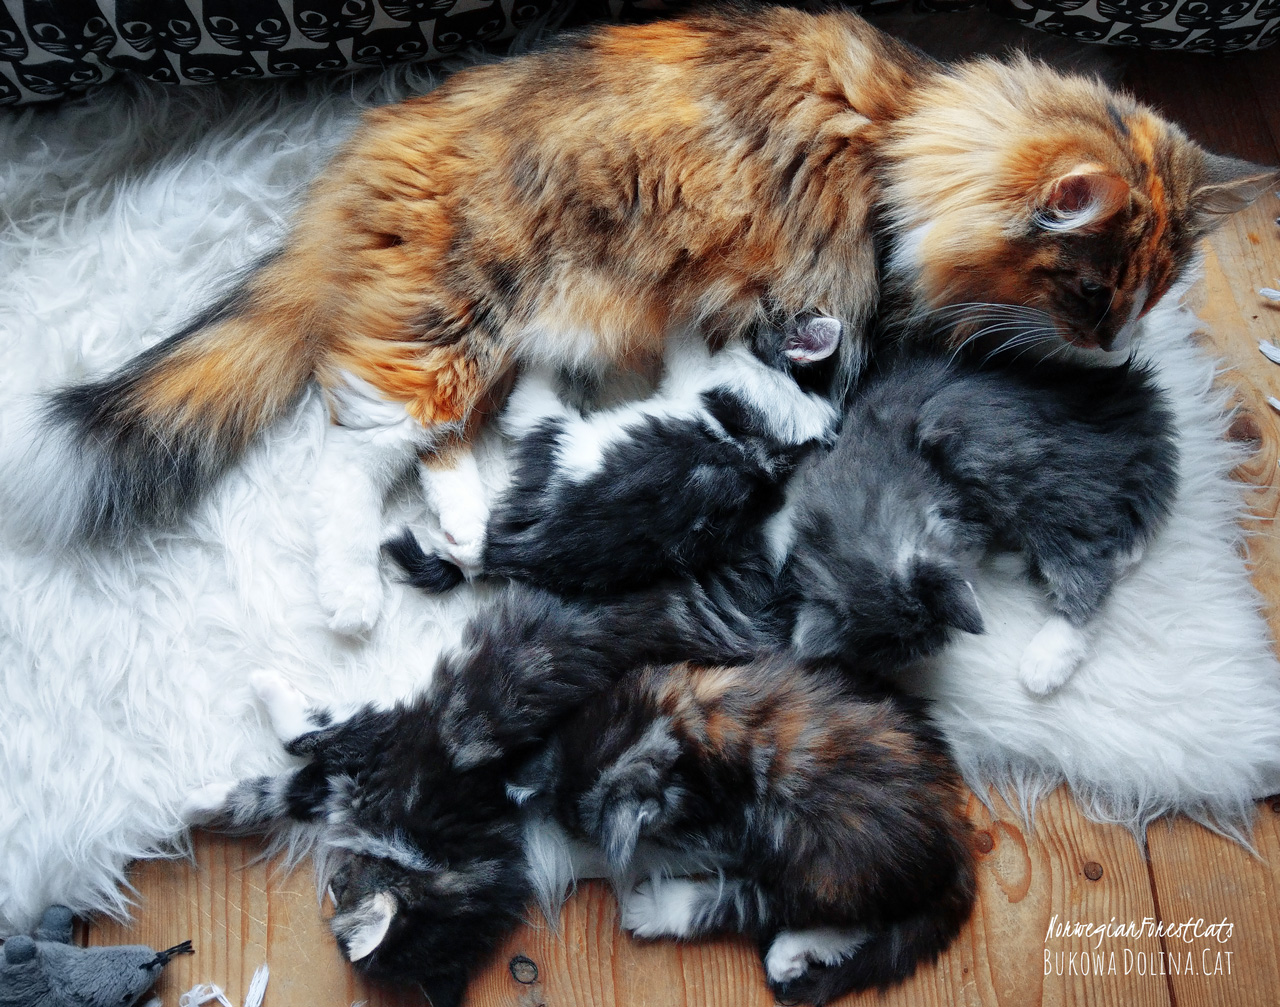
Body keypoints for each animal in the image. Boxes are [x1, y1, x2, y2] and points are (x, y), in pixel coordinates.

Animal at [6, 4, 1269, 635]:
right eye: (1090, 293)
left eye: (1146, 297)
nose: (1113, 346)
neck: (901, 135)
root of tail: (363, 161)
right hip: (462, 312)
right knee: (352, 458)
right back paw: (351, 594)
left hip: (479, 336)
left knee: (452, 445)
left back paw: (462, 519)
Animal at [186, 639, 974, 1005]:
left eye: (341, 888)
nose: (336, 882)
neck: (455, 853)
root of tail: (953, 819)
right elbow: (295, 782)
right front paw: (203, 802)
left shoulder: (421, 757)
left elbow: (320, 738)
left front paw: (261, 699)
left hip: (815, 839)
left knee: (799, 903)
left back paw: (677, 914)